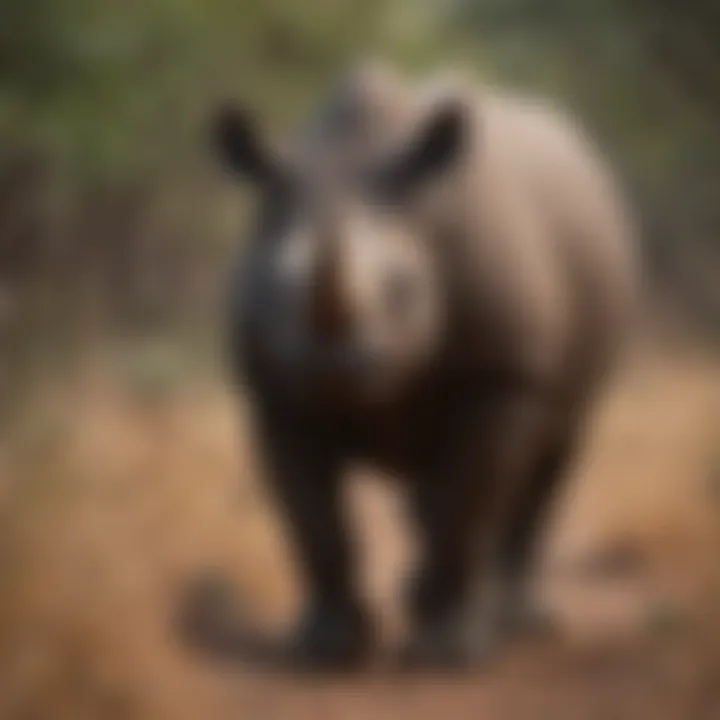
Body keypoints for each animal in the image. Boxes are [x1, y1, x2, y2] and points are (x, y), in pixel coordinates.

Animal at [210, 64, 640, 672]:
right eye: (272, 285)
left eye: (404, 286)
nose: (329, 368)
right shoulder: (276, 398)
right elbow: (314, 523)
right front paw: (328, 649)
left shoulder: (499, 377)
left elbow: (469, 503)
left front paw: (447, 651)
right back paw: (427, 597)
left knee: (553, 450)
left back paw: (520, 622)